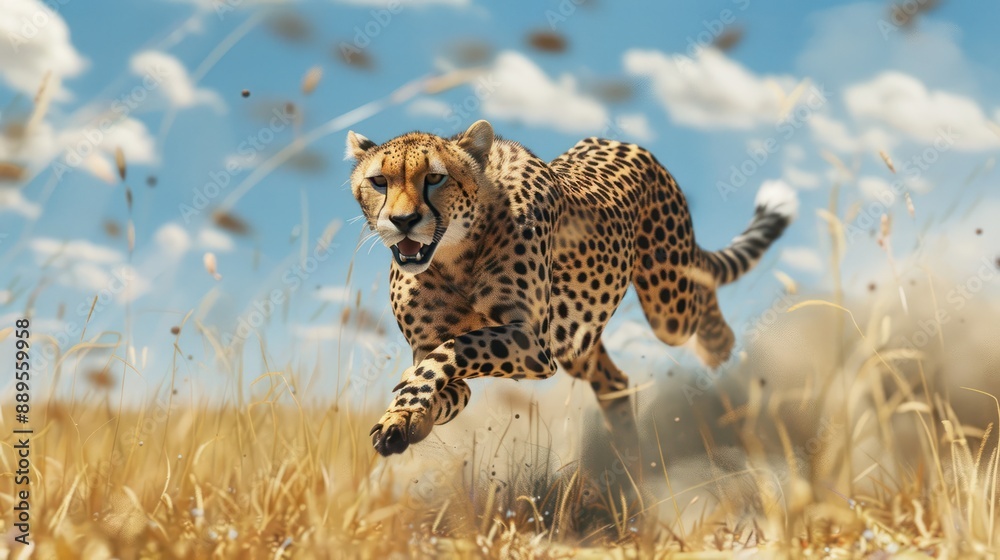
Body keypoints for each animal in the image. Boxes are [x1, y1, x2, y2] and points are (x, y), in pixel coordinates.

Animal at [346, 120, 797, 456]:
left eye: (435, 178)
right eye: (379, 181)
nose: (403, 221)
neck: (453, 257)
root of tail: (621, 141)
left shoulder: (531, 342)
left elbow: (454, 350)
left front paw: (406, 411)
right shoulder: (450, 354)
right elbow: (434, 371)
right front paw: (405, 418)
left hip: (667, 303)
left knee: (700, 290)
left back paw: (718, 348)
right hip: (577, 339)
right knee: (615, 382)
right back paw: (629, 464)